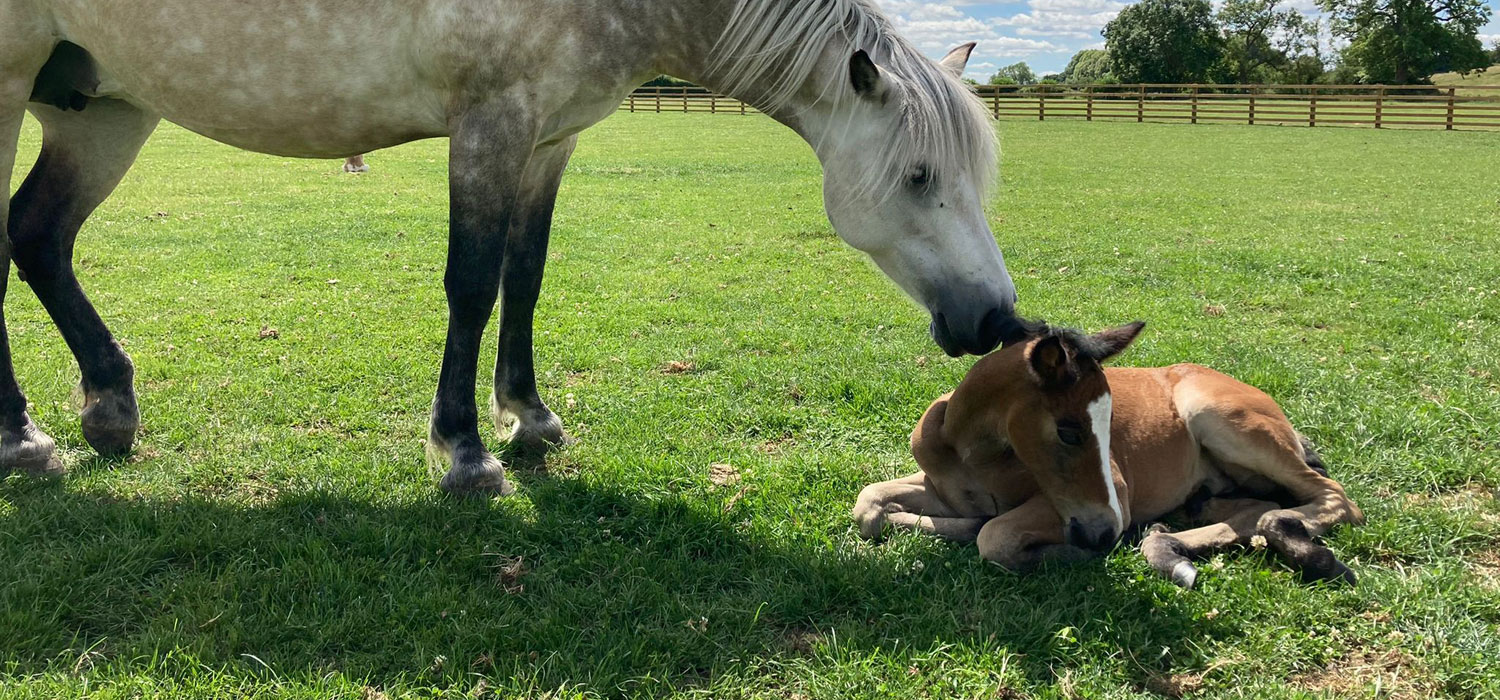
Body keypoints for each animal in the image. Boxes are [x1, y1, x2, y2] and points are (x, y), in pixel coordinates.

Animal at [1, 0, 1025, 493]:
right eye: (920, 177)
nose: (996, 320)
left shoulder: (547, 139)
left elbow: (523, 279)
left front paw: (528, 416)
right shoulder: (488, 125)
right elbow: (471, 283)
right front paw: (462, 449)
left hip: (103, 112)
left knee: (38, 237)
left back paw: (109, 407)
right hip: (12, 85)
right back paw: (24, 439)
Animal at [853, 322, 1366, 588]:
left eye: (1109, 423)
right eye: (1069, 431)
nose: (1104, 533)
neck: (973, 453)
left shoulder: (1105, 494)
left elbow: (994, 537)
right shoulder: (940, 488)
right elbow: (869, 504)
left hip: (1223, 420)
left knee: (1334, 498)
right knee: (1256, 507)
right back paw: (1171, 544)